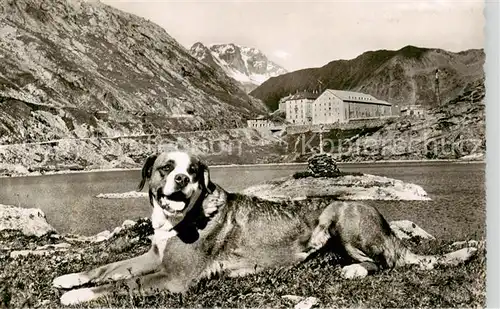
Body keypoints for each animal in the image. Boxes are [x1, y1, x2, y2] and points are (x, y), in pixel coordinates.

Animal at [52, 150, 478, 304]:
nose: (182, 181)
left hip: (342, 214)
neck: (179, 221)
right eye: (166, 168)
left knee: (385, 262)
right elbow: (109, 267)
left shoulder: (174, 278)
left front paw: (77, 296)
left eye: (193, 171)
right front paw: (71, 279)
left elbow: (123, 283)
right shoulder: (153, 256)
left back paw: (354, 269)